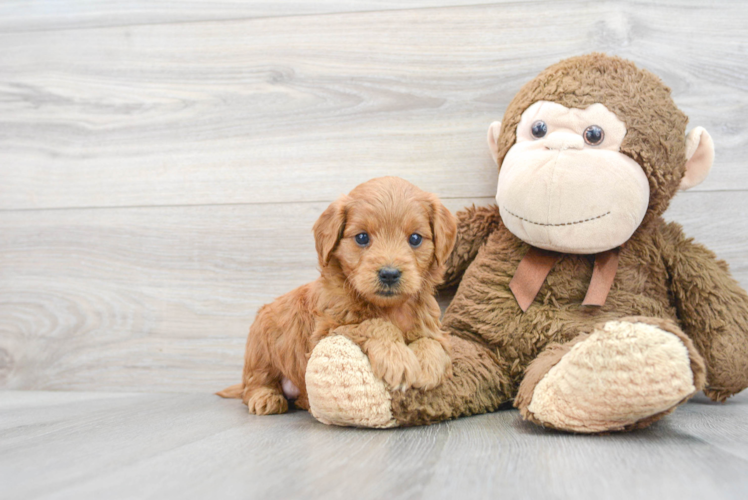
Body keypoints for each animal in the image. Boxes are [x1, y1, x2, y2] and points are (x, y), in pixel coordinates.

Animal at [218, 176, 456, 414]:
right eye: (362, 237)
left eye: (415, 238)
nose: (389, 274)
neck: (389, 307)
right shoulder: (327, 332)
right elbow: (373, 324)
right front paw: (397, 359)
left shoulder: (433, 327)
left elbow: (432, 341)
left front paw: (427, 366)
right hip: (260, 348)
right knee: (254, 383)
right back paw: (266, 397)